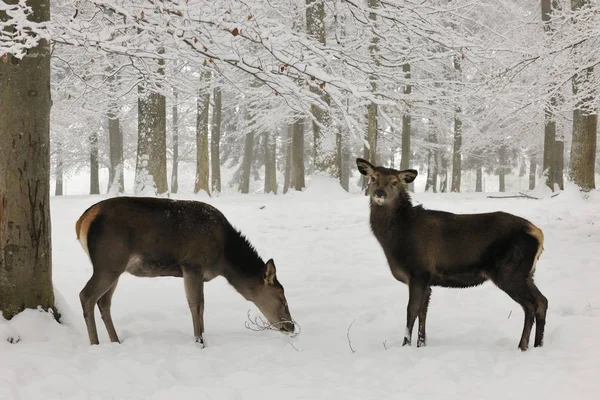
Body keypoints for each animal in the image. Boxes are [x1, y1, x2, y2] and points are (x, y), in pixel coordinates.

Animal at [75, 197, 296, 346]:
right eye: (282, 298)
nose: (291, 326)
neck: (223, 259)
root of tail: (81, 221)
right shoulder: (192, 265)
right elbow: (196, 305)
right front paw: (200, 342)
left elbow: (201, 306)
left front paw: (203, 336)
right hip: (109, 261)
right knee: (86, 295)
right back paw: (95, 344)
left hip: (116, 268)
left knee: (104, 302)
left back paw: (116, 341)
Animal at [356, 158, 548, 352]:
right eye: (373, 178)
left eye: (395, 182)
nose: (380, 193)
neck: (395, 240)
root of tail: (539, 234)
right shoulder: (427, 281)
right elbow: (423, 313)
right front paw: (421, 345)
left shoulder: (418, 272)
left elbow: (411, 311)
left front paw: (405, 345)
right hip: (526, 273)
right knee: (542, 301)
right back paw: (538, 345)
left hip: (509, 271)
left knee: (530, 305)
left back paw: (522, 346)